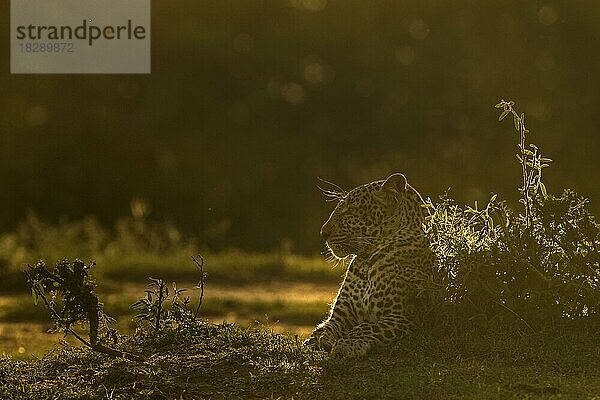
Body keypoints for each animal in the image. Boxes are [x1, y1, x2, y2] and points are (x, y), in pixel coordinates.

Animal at [302, 173, 434, 358]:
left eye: (350, 211)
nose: (323, 233)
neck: (365, 264)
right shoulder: (341, 315)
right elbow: (326, 326)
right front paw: (315, 340)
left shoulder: (405, 316)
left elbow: (367, 326)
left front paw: (346, 344)